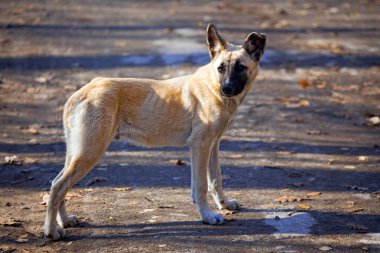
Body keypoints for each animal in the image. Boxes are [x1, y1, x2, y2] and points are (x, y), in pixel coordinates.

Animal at [43, 23, 264, 239]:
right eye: (220, 68)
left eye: (240, 68)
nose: (226, 89)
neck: (212, 85)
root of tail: (80, 93)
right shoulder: (200, 146)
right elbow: (201, 186)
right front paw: (207, 216)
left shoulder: (213, 145)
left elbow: (216, 179)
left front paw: (224, 204)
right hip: (90, 151)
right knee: (58, 186)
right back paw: (51, 231)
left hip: (77, 152)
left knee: (58, 183)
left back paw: (64, 221)